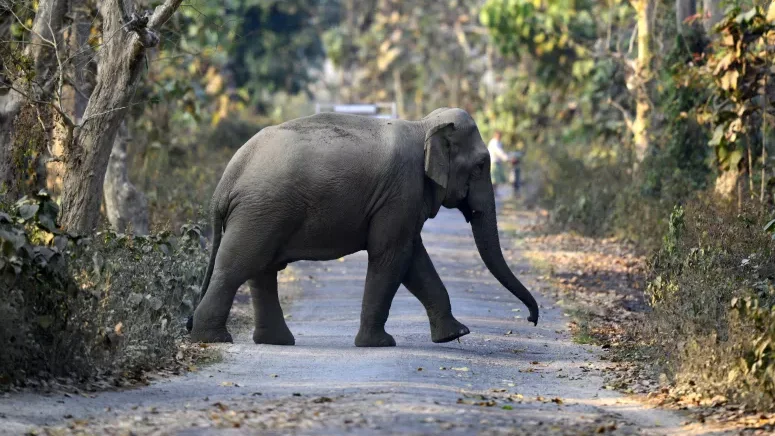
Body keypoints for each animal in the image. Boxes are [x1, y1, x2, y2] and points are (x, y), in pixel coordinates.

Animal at [188, 107, 540, 346]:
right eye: (481, 165)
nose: (532, 319)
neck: (424, 126)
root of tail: (228, 177)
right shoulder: (401, 190)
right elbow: (393, 255)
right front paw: (379, 344)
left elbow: (414, 259)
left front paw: (455, 334)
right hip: (261, 210)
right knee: (237, 267)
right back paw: (213, 338)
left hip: (262, 212)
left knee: (261, 271)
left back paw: (274, 341)